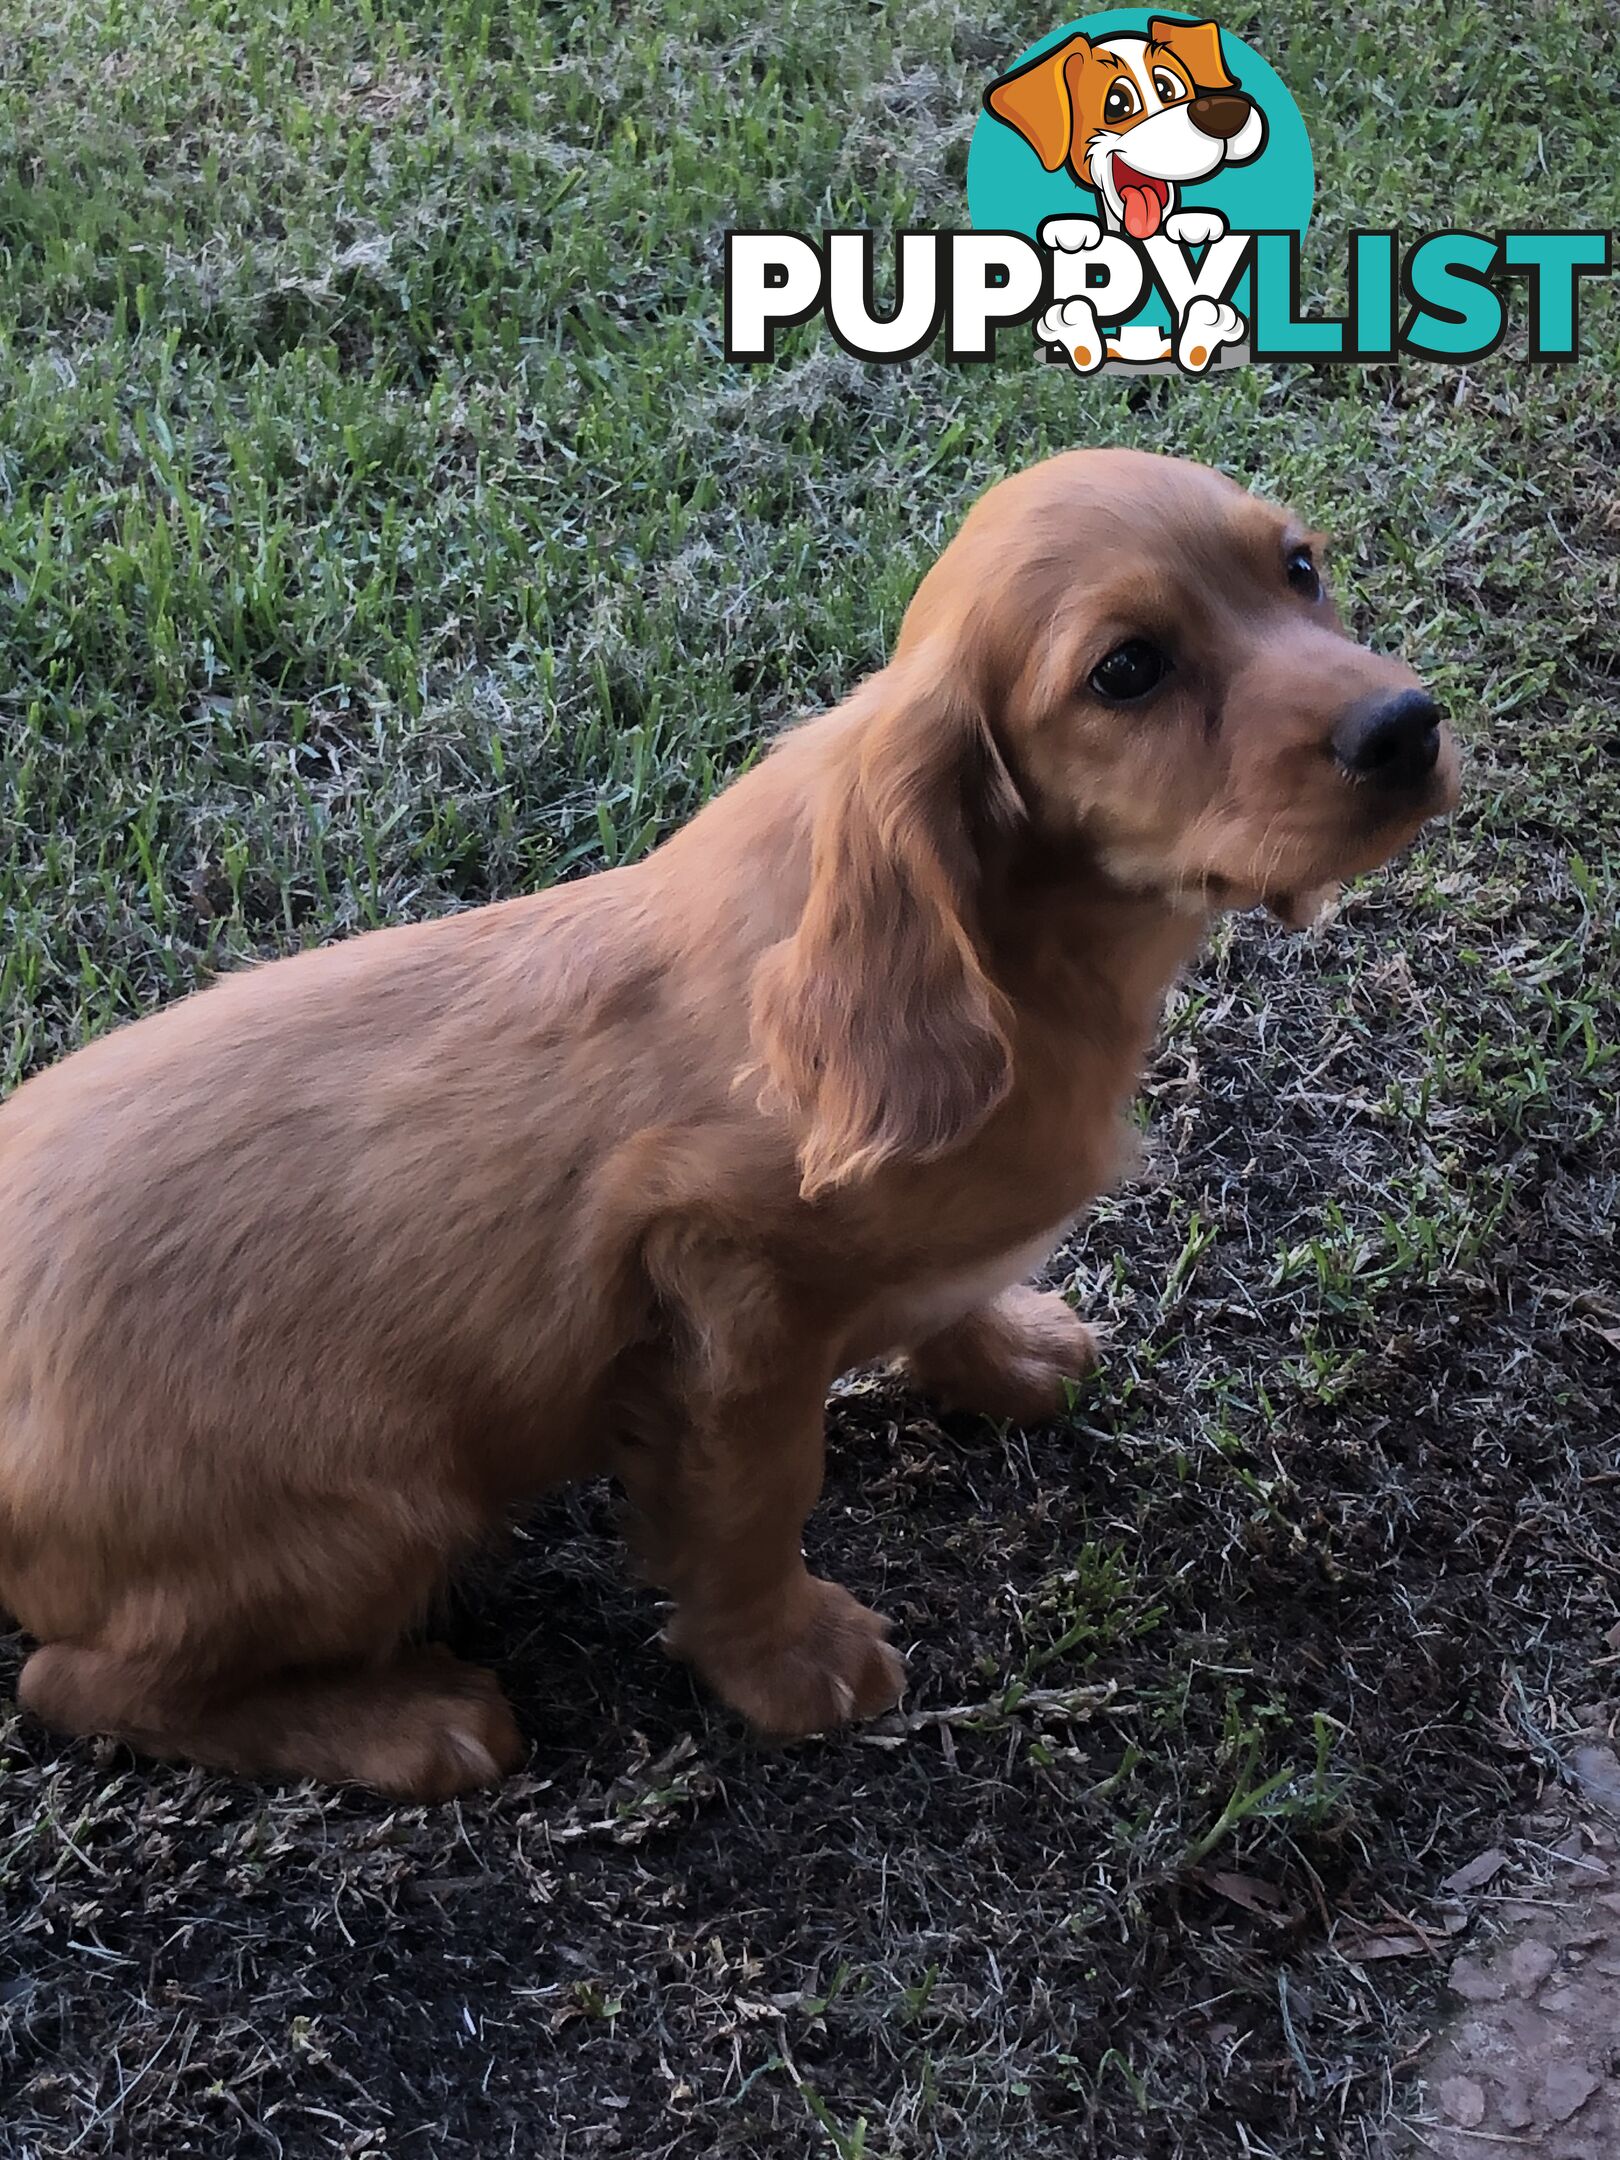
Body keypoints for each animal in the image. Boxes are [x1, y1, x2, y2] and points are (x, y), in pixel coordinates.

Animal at [0, 447, 1468, 1797]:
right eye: (1127, 672)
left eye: (1300, 568)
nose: (1407, 726)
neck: (1025, 956)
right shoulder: (731, 1293)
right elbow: (761, 1498)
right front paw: (785, 1660)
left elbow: (948, 1297)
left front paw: (1002, 1353)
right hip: (385, 1502)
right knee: (78, 1680)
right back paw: (398, 1722)